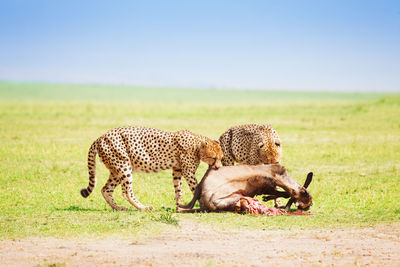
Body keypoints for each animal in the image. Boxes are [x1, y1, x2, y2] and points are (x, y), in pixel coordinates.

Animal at [79, 127, 223, 211]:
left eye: (221, 158)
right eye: (214, 158)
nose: (218, 167)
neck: (197, 145)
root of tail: (100, 137)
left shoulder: (177, 170)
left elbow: (178, 189)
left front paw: (180, 205)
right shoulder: (188, 172)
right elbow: (195, 187)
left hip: (116, 170)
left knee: (106, 189)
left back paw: (118, 208)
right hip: (124, 166)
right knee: (126, 191)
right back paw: (143, 207)